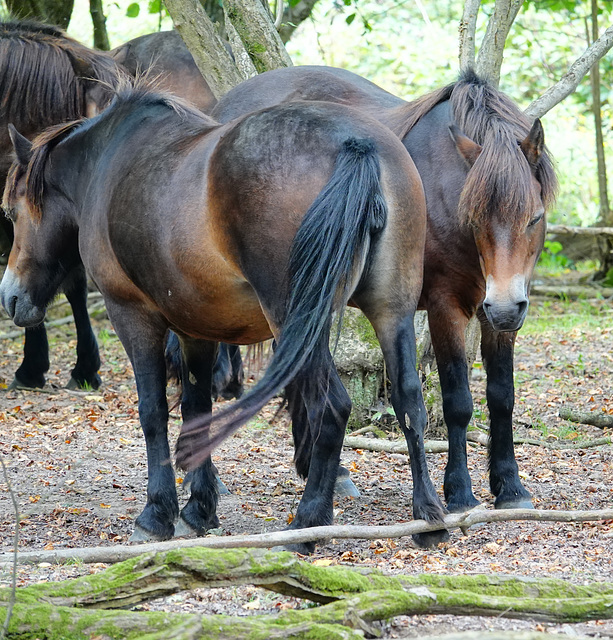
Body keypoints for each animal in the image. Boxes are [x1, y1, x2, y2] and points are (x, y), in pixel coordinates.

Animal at [0, 87, 440, 552]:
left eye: (12, 213)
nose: (10, 297)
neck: (106, 162)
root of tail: (356, 143)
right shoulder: (197, 330)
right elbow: (197, 411)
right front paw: (199, 510)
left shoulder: (132, 314)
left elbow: (153, 411)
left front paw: (156, 515)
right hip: (392, 310)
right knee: (409, 398)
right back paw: (429, 516)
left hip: (297, 320)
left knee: (331, 407)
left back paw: (306, 525)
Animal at [212, 66, 560, 516]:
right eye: (472, 217)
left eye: (535, 217)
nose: (502, 307)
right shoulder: (446, 307)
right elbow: (458, 402)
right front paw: (459, 492)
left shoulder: (501, 312)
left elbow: (502, 396)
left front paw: (511, 487)